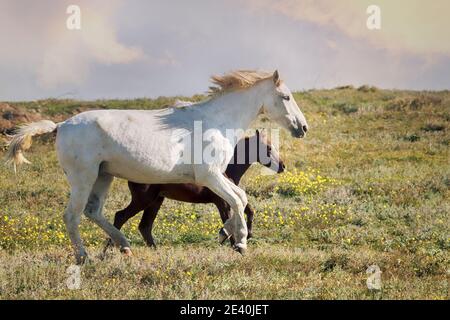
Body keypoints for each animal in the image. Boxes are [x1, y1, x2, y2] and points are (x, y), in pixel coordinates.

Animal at [110, 130, 284, 248]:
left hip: (156, 201)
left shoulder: (233, 199)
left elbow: (249, 211)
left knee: (144, 226)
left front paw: (247, 235)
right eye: (268, 148)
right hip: (143, 200)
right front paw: (233, 242)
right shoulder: (222, 202)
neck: (226, 169)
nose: (283, 166)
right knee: (121, 217)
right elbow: (229, 220)